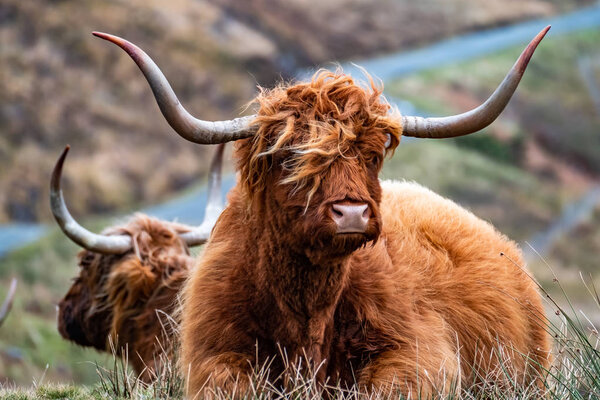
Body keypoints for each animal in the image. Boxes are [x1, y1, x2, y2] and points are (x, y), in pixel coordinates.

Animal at [95, 26, 552, 398]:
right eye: (291, 158)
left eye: (372, 156)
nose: (351, 213)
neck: (307, 313)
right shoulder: (214, 352)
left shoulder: (419, 352)